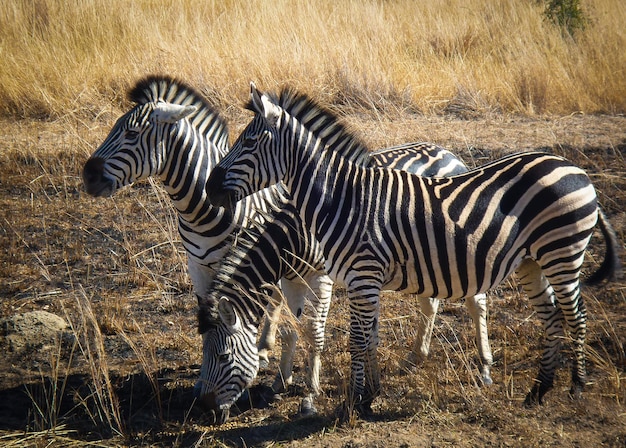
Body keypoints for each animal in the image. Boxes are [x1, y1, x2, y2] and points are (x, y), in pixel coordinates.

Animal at [195, 142, 492, 422]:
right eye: (204, 354)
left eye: (223, 357)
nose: (206, 411)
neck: (292, 236)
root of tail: (447, 152)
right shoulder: (291, 280)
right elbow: (290, 330)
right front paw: (280, 381)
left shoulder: (322, 277)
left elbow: (314, 332)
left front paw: (310, 396)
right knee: (430, 303)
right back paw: (415, 357)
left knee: (476, 302)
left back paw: (484, 367)